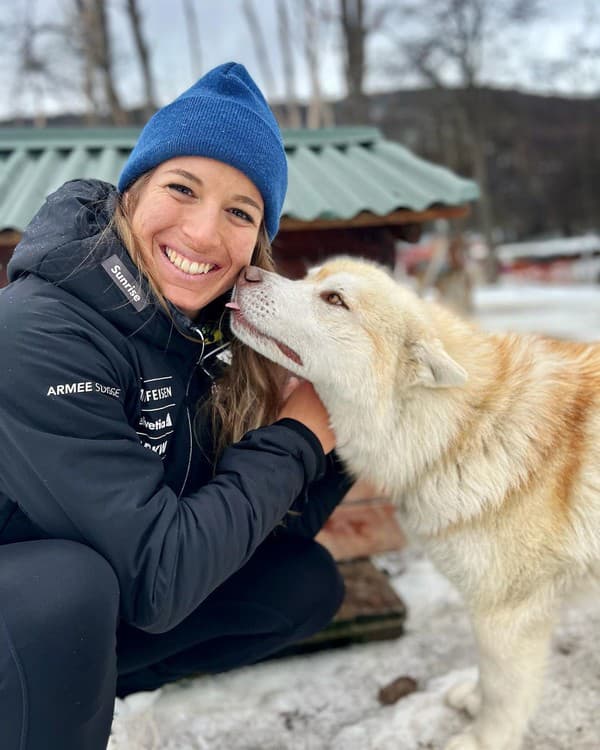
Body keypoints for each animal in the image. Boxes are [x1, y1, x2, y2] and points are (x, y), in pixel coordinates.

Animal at [229, 260, 600, 750]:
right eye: (308, 277)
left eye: (334, 299)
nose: (246, 272)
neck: (468, 428)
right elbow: (489, 678)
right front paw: (473, 701)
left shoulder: (508, 615)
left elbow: (503, 691)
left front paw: (483, 739)